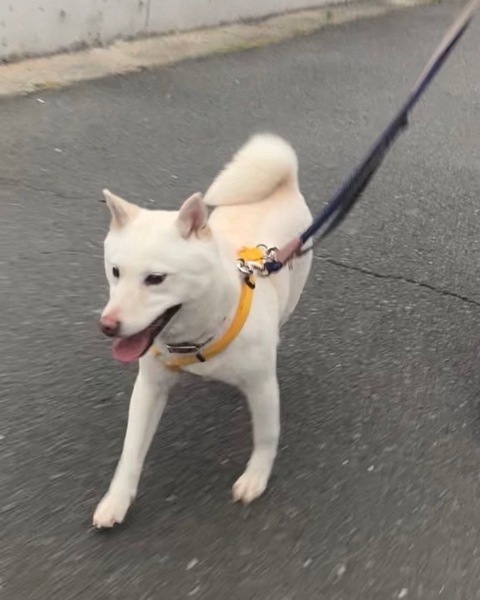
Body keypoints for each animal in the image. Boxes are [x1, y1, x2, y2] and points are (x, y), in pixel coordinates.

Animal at [93, 133, 313, 528]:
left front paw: (256, 477)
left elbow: (266, 436)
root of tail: (283, 183)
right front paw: (116, 500)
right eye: (115, 271)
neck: (196, 338)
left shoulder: (262, 386)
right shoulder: (149, 386)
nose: (108, 327)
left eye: (156, 278)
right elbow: (130, 451)